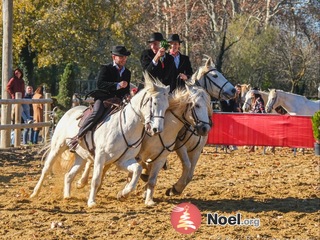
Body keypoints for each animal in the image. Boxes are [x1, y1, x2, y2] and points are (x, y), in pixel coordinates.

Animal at [30, 74, 170, 207]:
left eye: (167, 106)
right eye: (154, 103)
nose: (157, 129)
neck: (126, 127)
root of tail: (70, 111)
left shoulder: (123, 160)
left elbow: (137, 170)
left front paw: (124, 194)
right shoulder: (100, 156)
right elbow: (96, 179)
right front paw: (91, 202)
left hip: (81, 156)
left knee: (69, 175)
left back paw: (67, 196)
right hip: (58, 147)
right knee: (46, 169)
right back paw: (35, 193)